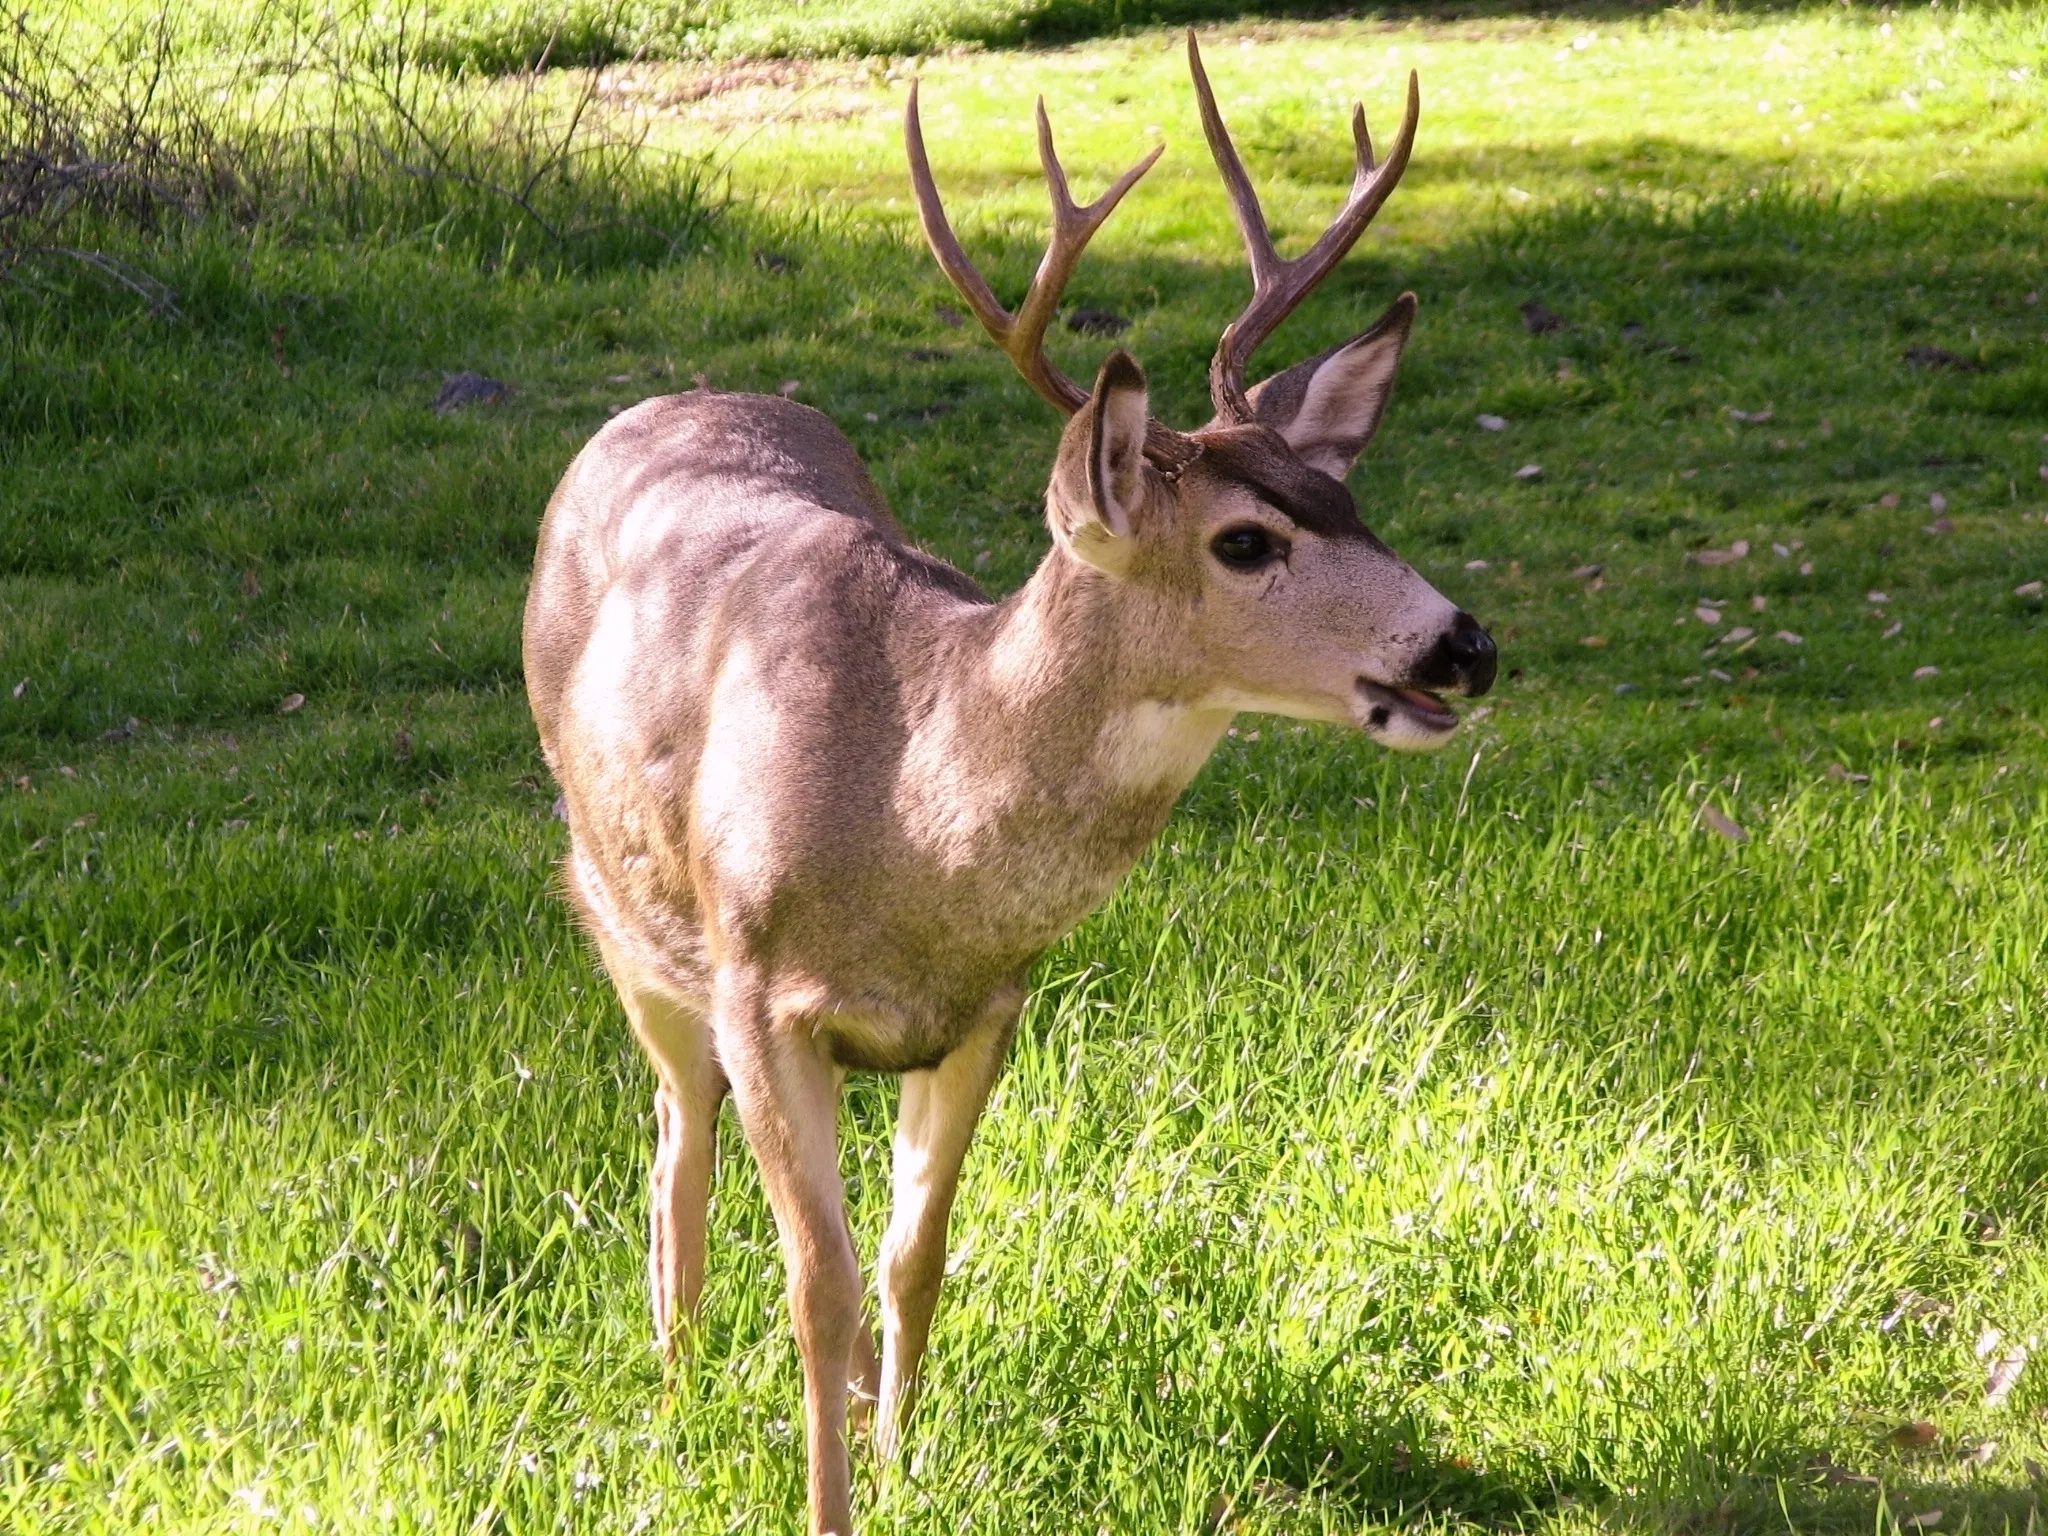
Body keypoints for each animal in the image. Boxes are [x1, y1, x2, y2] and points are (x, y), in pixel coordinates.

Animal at [522, 32, 1494, 1536]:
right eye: (1246, 541)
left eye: (1351, 503)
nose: (1464, 645)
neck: (909, 821)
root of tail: (661, 401)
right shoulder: (760, 990)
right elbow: (817, 1284)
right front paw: (829, 1503)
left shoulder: (989, 1007)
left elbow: (912, 1258)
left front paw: (904, 1470)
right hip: (622, 916)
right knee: (676, 1142)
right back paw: (675, 1392)